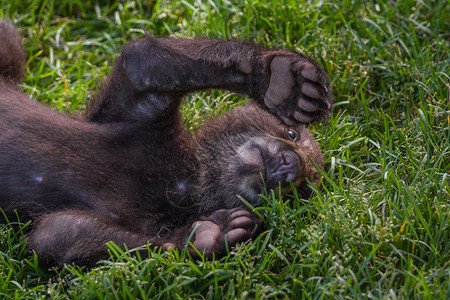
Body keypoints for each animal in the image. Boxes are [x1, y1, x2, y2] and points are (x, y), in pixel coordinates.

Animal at [0, 19, 330, 266]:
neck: (184, 175)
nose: (291, 164)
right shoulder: (136, 113)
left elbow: (57, 234)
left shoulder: (139, 219)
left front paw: (209, 234)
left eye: (303, 189)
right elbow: (146, 59)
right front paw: (282, 80)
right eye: (292, 134)